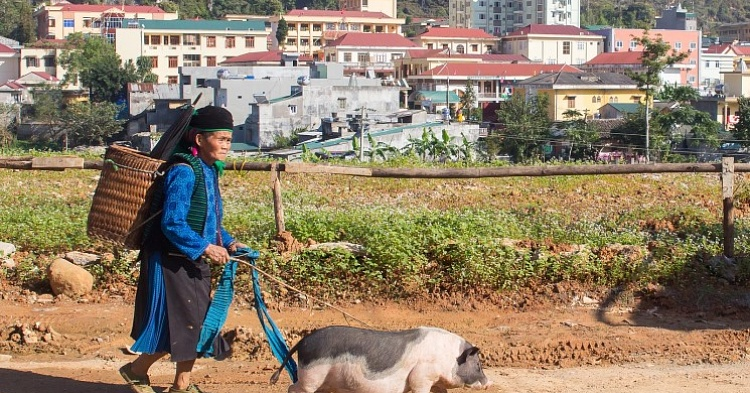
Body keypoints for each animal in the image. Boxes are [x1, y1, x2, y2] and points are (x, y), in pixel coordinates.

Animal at [270, 324, 494, 392]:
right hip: (311, 374)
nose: (489, 382)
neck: (448, 358)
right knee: (292, 388)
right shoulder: (422, 375)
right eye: (478, 364)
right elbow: (419, 385)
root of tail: (304, 340)